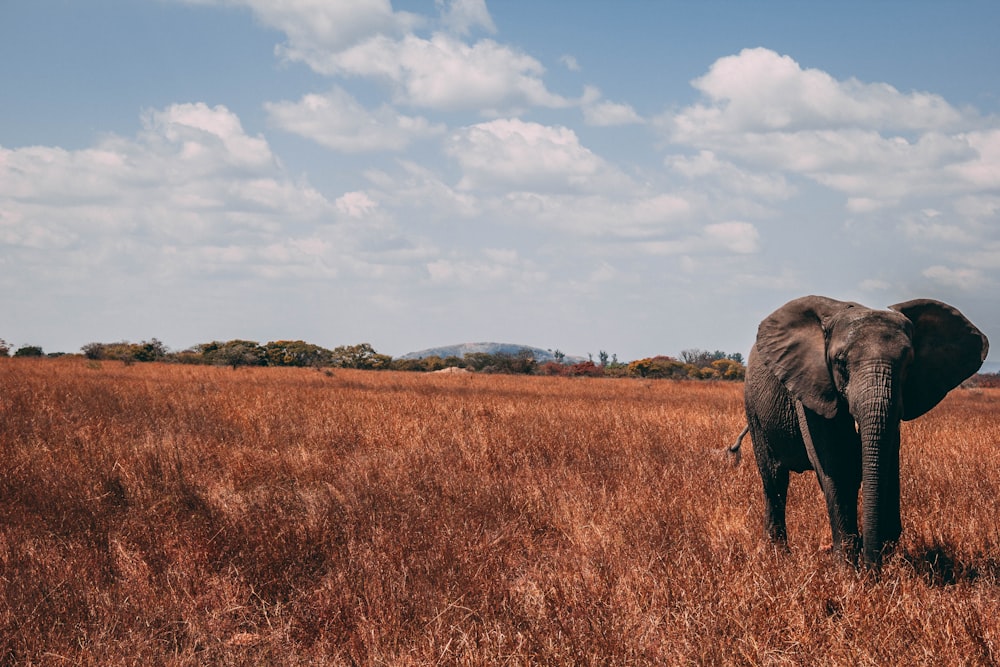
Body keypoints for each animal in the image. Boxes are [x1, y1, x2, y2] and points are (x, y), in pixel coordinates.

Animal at [732, 298, 988, 568]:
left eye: (909, 363)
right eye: (840, 363)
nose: (871, 567)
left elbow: (887, 464)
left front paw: (882, 557)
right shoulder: (812, 386)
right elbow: (834, 465)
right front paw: (847, 568)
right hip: (754, 407)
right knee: (774, 478)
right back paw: (777, 555)